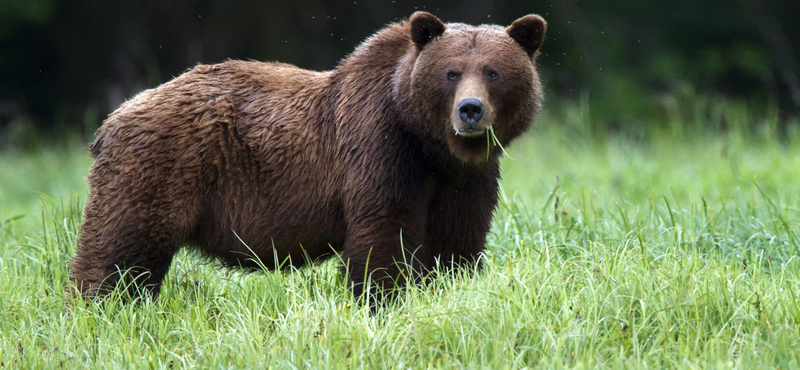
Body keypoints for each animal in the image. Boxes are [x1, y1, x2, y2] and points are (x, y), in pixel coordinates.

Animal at [70, 11, 544, 302]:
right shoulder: (379, 148)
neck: (428, 143)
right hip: (159, 166)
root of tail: (114, 117)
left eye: (493, 72)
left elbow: (458, 240)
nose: (470, 110)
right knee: (120, 250)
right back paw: (98, 307)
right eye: (451, 73)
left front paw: (449, 286)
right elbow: (383, 234)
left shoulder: (468, 177)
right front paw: (380, 298)